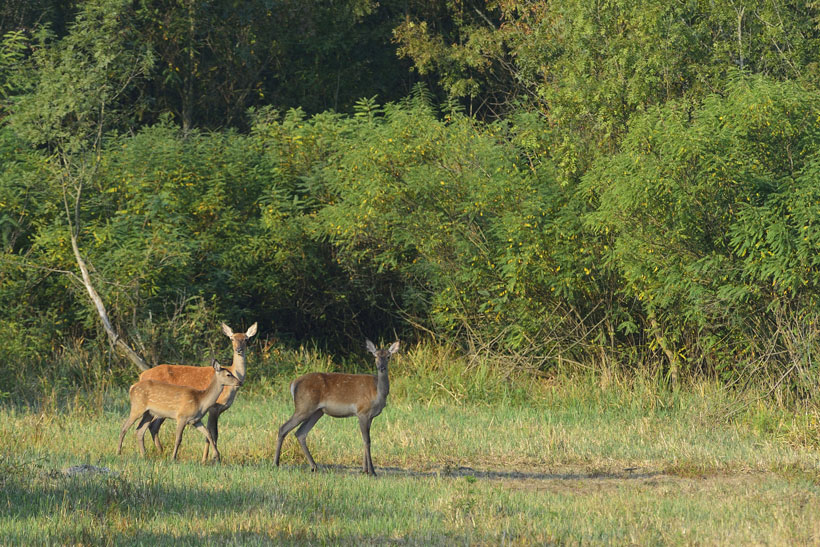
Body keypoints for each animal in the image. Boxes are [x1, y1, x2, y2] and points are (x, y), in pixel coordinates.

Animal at [139, 322, 256, 462]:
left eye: (246, 339)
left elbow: (210, 433)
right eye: (232, 338)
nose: (239, 350)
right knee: (151, 426)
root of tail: (141, 375)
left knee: (153, 427)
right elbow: (213, 433)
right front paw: (210, 459)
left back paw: (161, 453)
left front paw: (208, 458)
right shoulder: (214, 407)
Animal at [274, 340, 398, 478]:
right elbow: (367, 441)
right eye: (375, 356)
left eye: (388, 356)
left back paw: (314, 466)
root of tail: (293, 384)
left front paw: (365, 470)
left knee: (300, 433)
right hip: (304, 407)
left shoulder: (370, 416)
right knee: (283, 428)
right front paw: (372, 471)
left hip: (317, 412)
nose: (382, 368)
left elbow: (365, 440)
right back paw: (276, 463)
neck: (378, 393)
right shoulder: (362, 411)